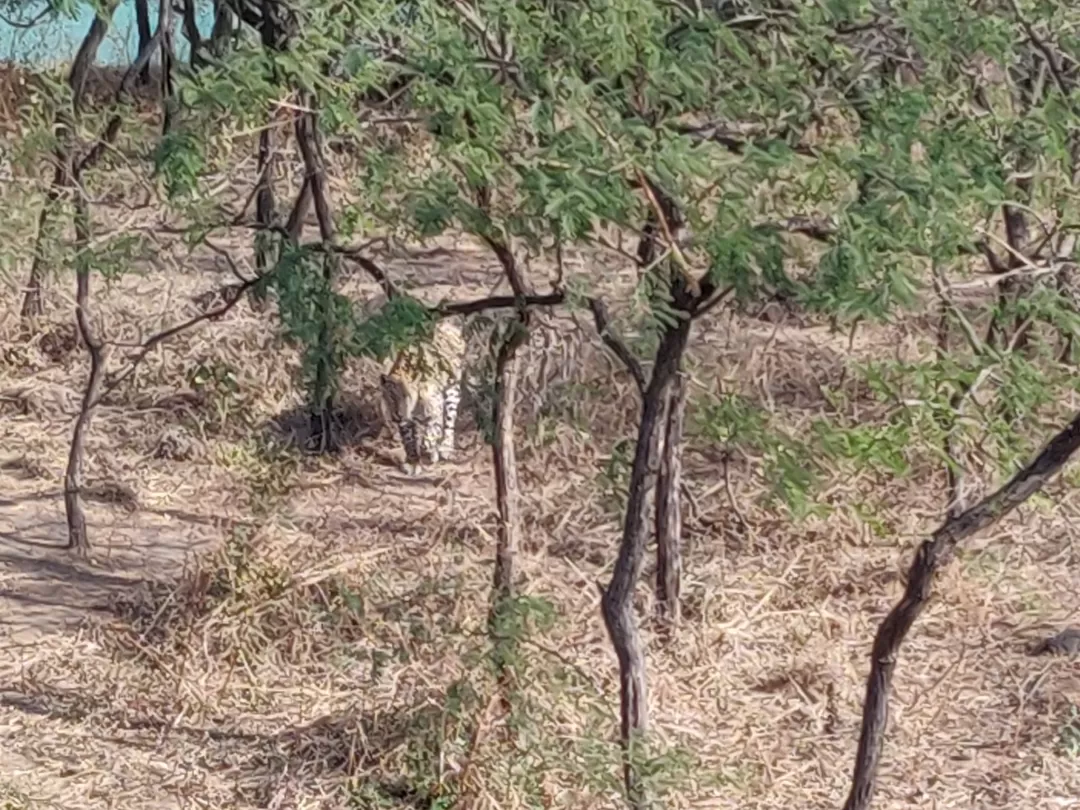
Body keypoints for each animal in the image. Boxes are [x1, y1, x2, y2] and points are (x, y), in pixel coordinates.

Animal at [380, 317, 464, 475]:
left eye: (403, 397)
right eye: (389, 399)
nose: (396, 416)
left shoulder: (435, 406)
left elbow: (435, 427)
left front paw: (428, 444)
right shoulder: (405, 422)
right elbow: (409, 442)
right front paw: (413, 462)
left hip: (453, 388)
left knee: (449, 420)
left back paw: (444, 447)